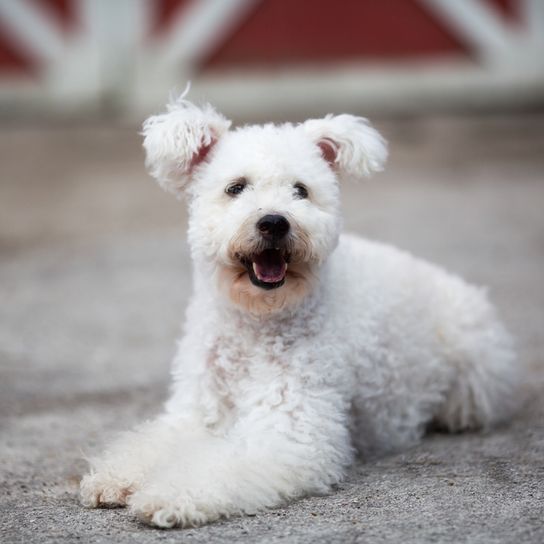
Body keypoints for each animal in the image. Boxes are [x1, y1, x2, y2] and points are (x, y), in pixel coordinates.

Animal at [79, 96, 520, 528]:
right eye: (236, 187)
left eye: (300, 190)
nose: (274, 222)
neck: (256, 322)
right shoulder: (197, 412)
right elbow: (151, 443)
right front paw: (114, 478)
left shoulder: (289, 433)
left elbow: (218, 468)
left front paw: (168, 496)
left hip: (474, 369)